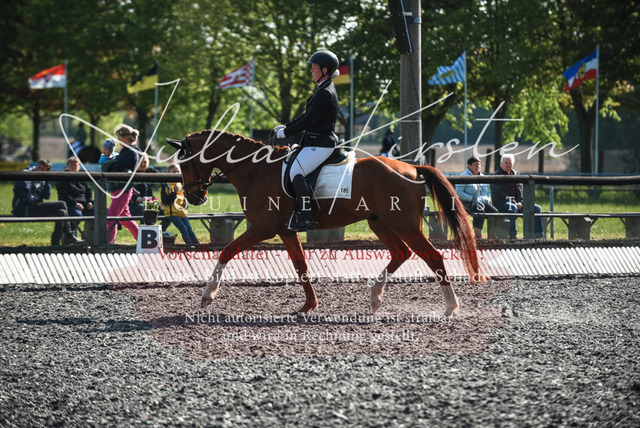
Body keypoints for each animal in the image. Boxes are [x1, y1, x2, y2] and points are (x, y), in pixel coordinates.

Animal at [165, 130, 483, 317]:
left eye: (185, 163)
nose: (193, 197)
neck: (255, 170)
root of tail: (413, 168)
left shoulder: (263, 228)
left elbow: (226, 251)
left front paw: (208, 295)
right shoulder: (285, 230)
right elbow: (301, 266)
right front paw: (308, 306)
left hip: (404, 224)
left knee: (433, 256)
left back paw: (451, 307)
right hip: (380, 223)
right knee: (401, 253)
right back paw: (375, 299)